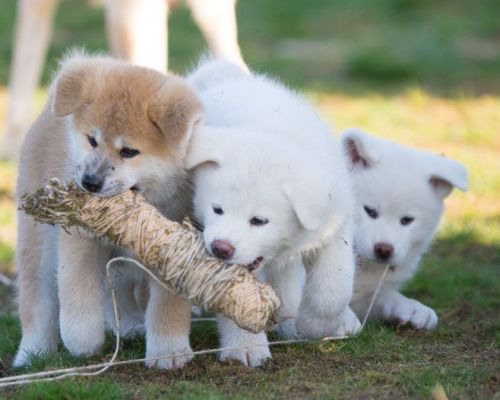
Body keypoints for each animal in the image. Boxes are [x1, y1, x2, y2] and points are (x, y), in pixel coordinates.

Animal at [15, 52, 203, 368]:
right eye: (92, 141)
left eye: (129, 152)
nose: (90, 182)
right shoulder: (80, 238)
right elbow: (78, 289)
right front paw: (82, 339)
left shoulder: (174, 250)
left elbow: (167, 305)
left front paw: (168, 350)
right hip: (38, 243)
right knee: (36, 299)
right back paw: (32, 353)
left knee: (119, 290)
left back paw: (128, 324)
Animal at [186, 60, 362, 366]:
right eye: (217, 209)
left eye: (259, 221)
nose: (221, 248)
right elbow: (238, 302)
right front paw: (245, 348)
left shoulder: (334, 226)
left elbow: (332, 290)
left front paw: (312, 326)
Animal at [344, 130, 468, 330]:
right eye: (370, 211)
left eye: (407, 220)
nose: (384, 249)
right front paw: (343, 320)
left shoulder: (366, 294)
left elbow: (384, 295)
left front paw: (413, 308)